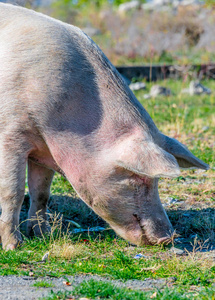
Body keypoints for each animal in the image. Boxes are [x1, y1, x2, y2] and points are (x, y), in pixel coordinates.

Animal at [0, 4, 209, 251]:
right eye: (138, 178)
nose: (168, 238)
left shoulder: (42, 149)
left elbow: (41, 192)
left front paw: (42, 236)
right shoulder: (11, 133)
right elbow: (13, 191)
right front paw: (14, 246)